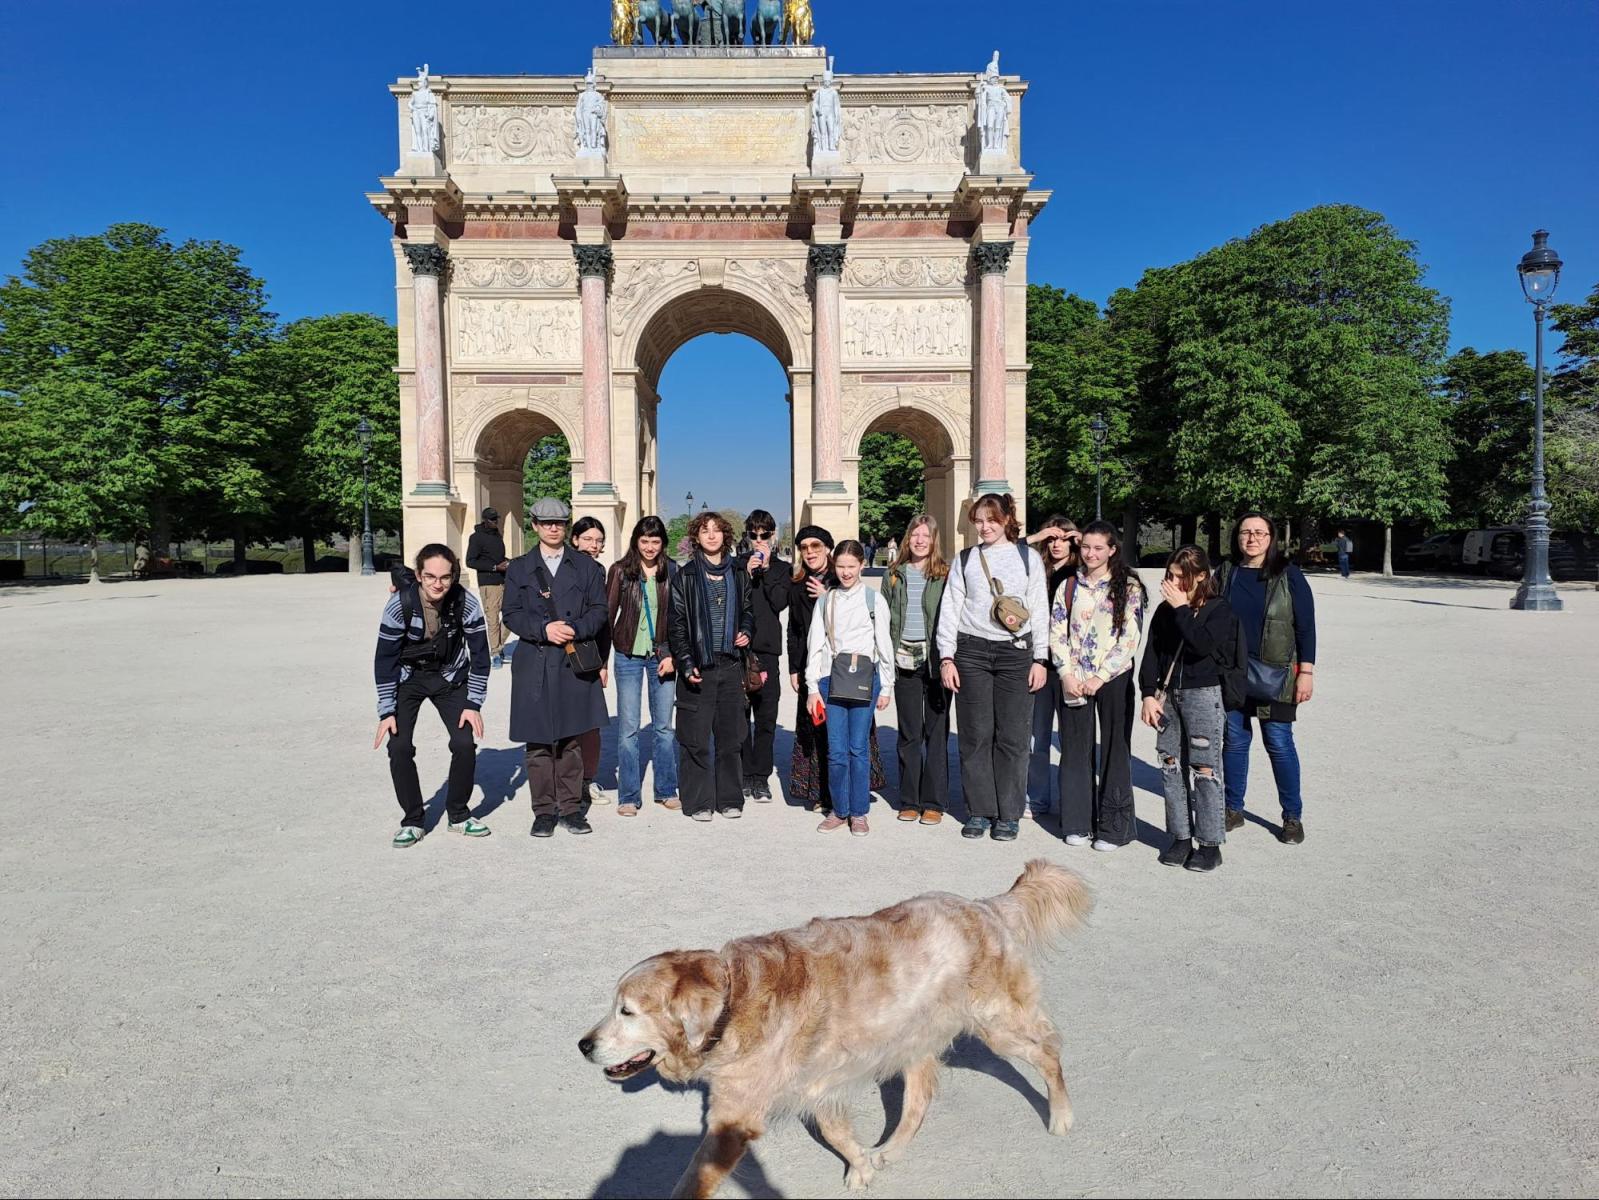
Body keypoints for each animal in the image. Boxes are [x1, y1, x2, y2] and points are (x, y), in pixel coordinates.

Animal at [580, 859, 1093, 1198]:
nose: (583, 1044)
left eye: (627, 1011)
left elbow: (692, 1180)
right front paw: (863, 1164)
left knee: (1049, 1051)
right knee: (920, 1098)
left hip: (997, 1023)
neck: (733, 1003)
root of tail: (983, 905)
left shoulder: (734, 1119)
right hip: (914, 1036)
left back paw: (1062, 1115)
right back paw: (890, 1149)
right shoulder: (818, 1084)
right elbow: (835, 1131)